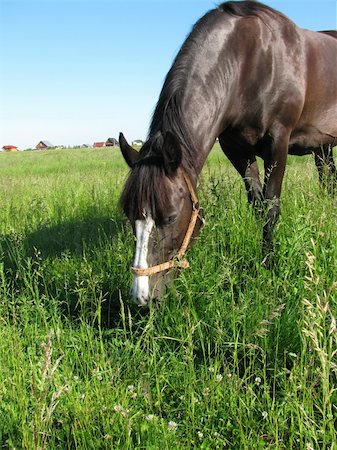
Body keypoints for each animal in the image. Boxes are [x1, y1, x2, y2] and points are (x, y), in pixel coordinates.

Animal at [118, 0, 336, 306]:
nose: (142, 297)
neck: (250, 61)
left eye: (170, 217)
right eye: (129, 215)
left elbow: (271, 208)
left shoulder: (278, 142)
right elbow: (257, 206)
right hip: (323, 148)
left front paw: (269, 265)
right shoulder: (236, 149)